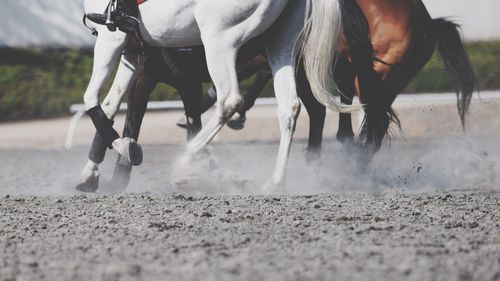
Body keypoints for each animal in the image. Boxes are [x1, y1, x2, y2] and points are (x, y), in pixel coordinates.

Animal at [80, 0, 358, 190]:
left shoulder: (112, 39)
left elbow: (94, 99)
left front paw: (122, 153)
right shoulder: (134, 52)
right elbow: (110, 104)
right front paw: (91, 172)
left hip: (219, 39)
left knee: (230, 100)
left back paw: (184, 165)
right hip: (281, 43)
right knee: (290, 107)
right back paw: (277, 181)